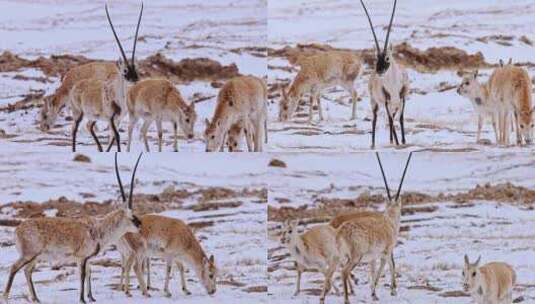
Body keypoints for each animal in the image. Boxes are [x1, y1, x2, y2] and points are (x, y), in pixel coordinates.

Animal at [2, 154, 143, 304]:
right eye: (131, 216)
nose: (140, 226)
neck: (99, 228)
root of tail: (17, 230)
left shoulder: (87, 259)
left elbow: (89, 273)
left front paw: (91, 297)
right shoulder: (81, 258)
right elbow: (82, 275)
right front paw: (82, 299)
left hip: (34, 257)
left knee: (27, 271)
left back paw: (36, 299)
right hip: (28, 255)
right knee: (14, 268)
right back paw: (6, 297)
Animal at [336, 151, 414, 302]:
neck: (389, 220)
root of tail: (341, 231)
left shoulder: (373, 257)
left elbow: (373, 271)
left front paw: (374, 293)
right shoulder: (385, 253)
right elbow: (387, 267)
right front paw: (386, 292)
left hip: (343, 256)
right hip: (356, 257)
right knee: (344, 271)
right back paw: (347, 299)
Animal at [362, 0, 412, 148]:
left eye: (387, 58)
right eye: (375, 58)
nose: (379, 71)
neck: (394, 83)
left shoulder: (402, 98)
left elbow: (400, 118)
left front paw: (403, 141)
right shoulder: (386, 100)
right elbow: (390, 119)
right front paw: (397, 142)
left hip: (394, 104)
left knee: (393, 118)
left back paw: (391, 140)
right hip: (375, 102)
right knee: (376, 118)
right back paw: (374, 144)